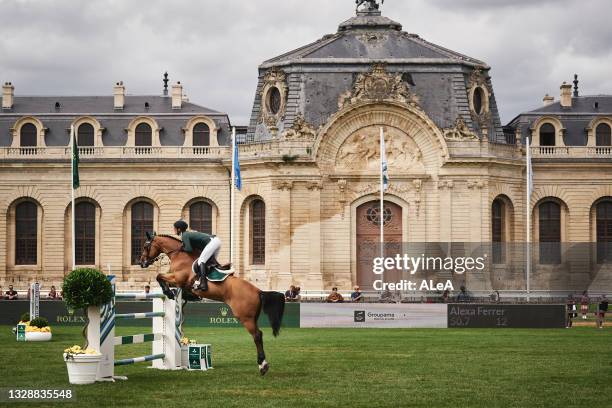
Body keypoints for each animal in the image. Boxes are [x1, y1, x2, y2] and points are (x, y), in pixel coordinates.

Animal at [137, 231, 286, 374]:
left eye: (145, 246)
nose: (142, 263)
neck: (179, 255)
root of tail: (258, 291)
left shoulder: (178, 279)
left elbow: (159, 276)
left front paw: (168, 292)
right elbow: (163, 279)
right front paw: (176, 293)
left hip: (245, 317)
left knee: (257, 335)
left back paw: (263, 365)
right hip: (252, 317)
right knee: (258, 334)